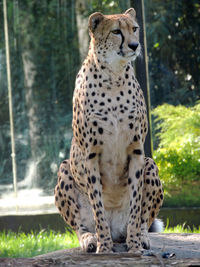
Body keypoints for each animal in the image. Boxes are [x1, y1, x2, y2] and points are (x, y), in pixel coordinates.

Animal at [55, 7, 164, 255]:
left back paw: (141, 237)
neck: (113, 77)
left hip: (150, 164)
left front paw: (134, 246)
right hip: (65, 169)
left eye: (134, 28)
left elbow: (135, 206)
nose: (134, 45)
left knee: (144, 219)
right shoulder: (91, 155)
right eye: (116, 31)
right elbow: (98, 208)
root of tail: (117, 233)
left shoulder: (136, 151)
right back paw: (90, 239)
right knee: (80, 225)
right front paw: (103, 247)